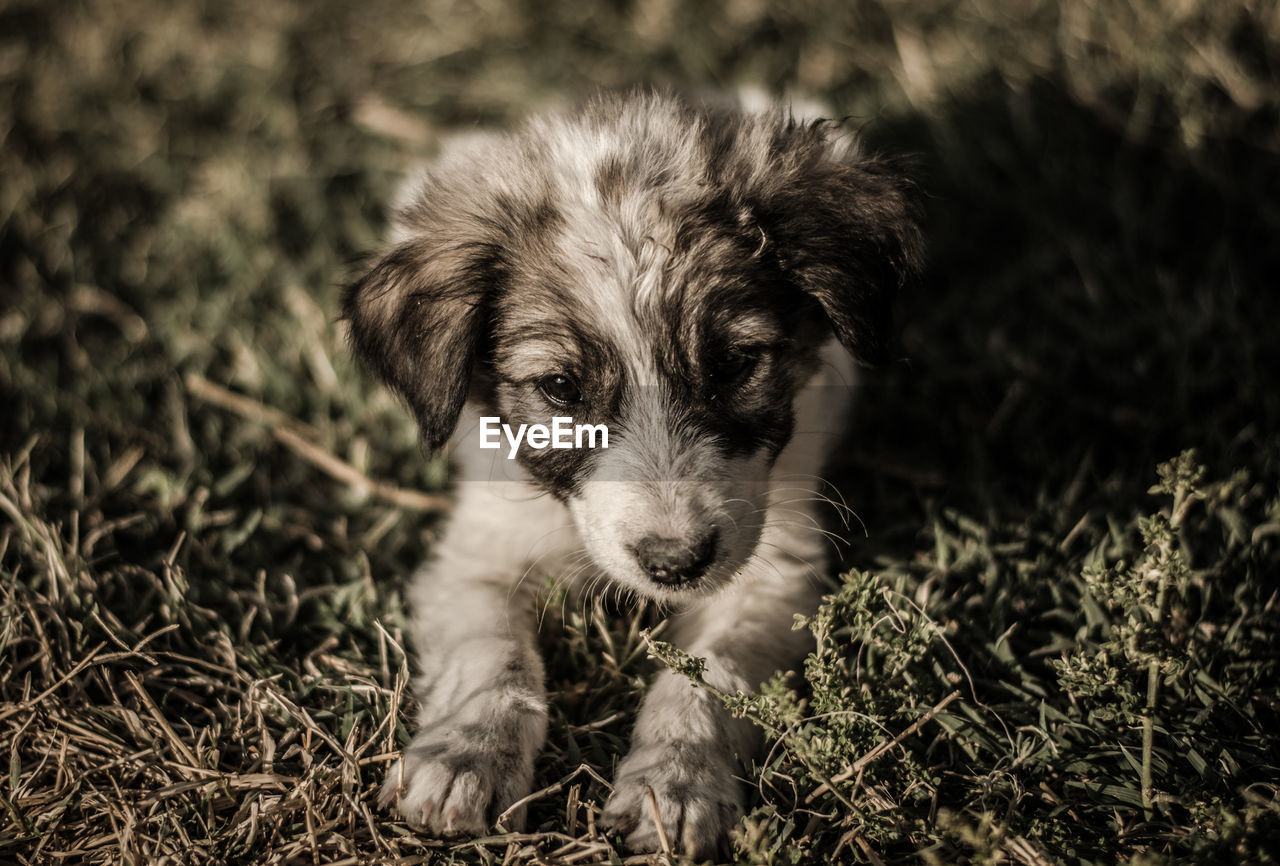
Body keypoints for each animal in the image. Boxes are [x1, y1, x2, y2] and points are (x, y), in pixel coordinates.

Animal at [345, 91, 916, 854]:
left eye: (734, 364)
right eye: (560, 387)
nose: (676, 564)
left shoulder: (771, 568)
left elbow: (708, 678)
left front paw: (674, 785)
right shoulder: (477, 553)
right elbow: (493, 655)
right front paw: (466, 757)